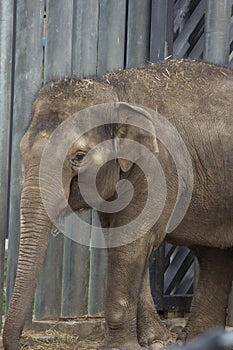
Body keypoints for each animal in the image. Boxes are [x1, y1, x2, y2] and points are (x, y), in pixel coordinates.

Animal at [2, 60, 233, 350]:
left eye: (79, 156)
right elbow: (123, 239)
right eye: (22, 151)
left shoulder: (159, 165)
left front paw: (121, 346)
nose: (17, 342)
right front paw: (155, 341)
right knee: (215, 255)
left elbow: (132, 241)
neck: (114, 90)